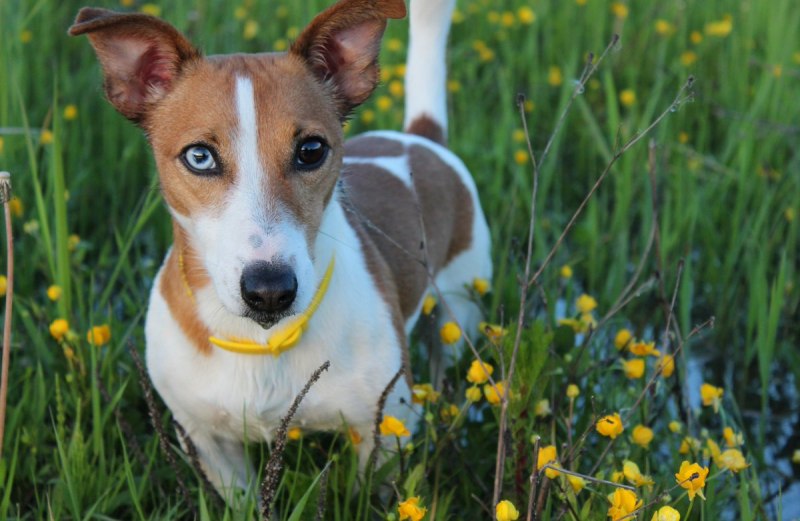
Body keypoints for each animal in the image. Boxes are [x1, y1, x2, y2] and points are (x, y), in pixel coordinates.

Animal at [72, 0, 490, 500]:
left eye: (311, 149)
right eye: (199, 157)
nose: (269, 290)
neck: (260, 342)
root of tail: (420, 137)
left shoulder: (386, 426)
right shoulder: (207, 441)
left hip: (460, 306)